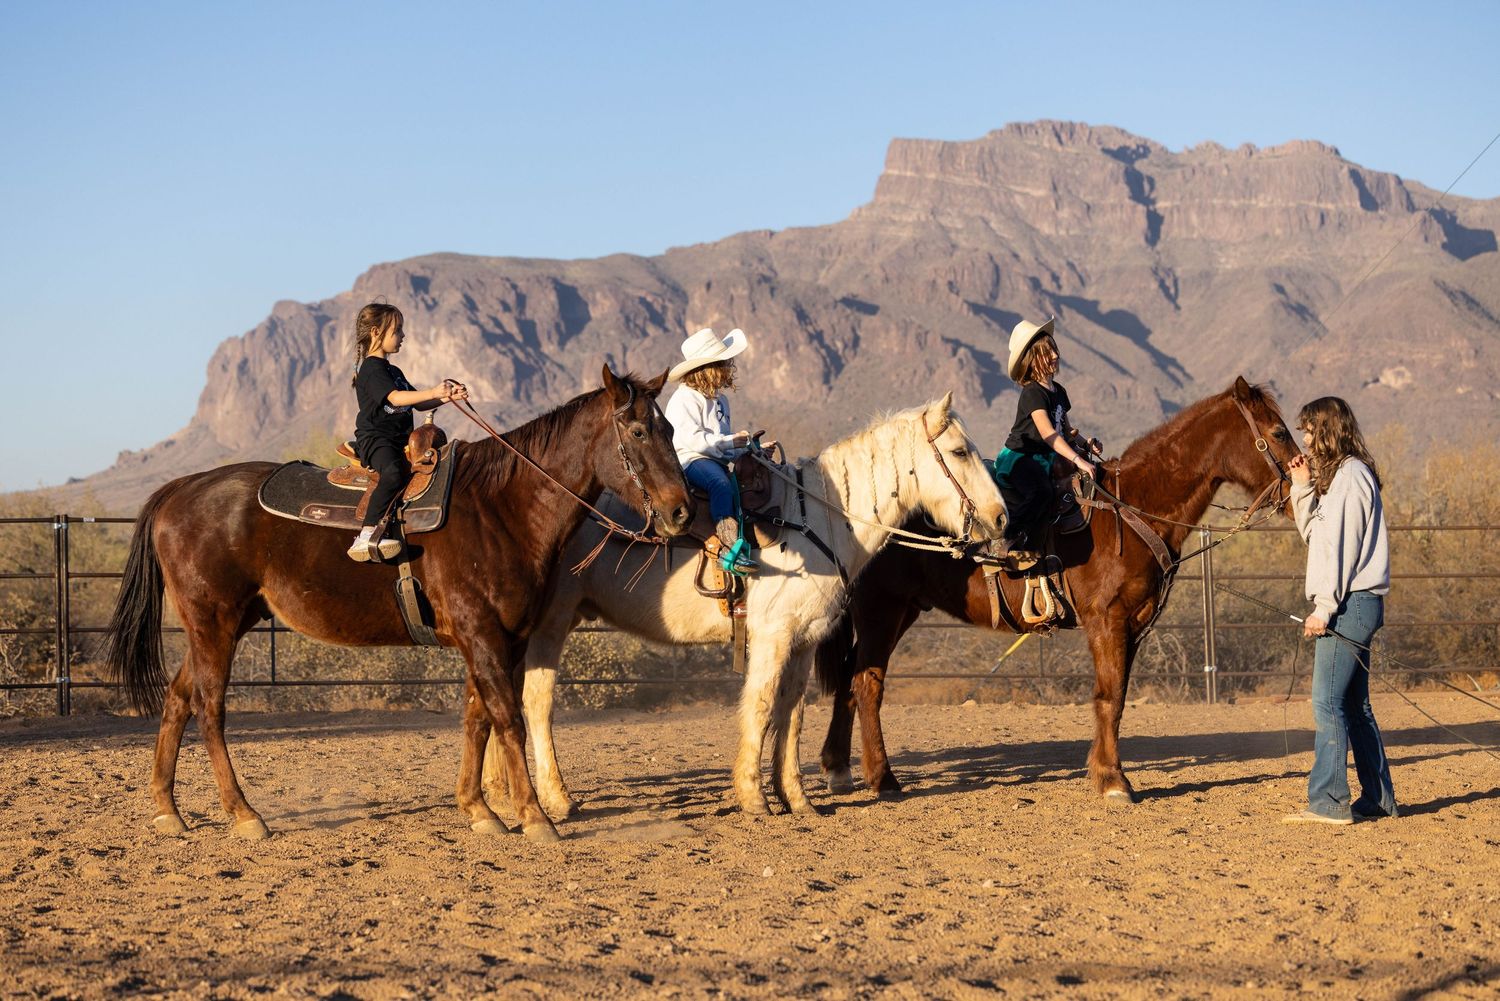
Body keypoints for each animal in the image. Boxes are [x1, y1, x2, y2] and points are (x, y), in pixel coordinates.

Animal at [105, 366, 692, 843]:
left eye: (668, 429)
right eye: (639, 431)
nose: (681, 512)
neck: (501, 508)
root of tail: (181, 488)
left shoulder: (503, 638)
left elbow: (477, 717)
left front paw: (479, 810)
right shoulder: (482, 633)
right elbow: (507, 719)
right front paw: (533, 816)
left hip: (221, 623)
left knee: (179, 698)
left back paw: (168, 810)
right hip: (216, 622)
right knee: (210, 707)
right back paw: (244, 814)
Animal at [478, 393, 1006, 819]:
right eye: (959, 451)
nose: (1001, 517)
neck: (818, 519)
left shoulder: (803, 641)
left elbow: (791, 713)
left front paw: (797, 798)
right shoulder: (773, 637)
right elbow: (761, 705)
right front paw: (754, 797)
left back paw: (499, 791)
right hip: (550, 624)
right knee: (536, 701)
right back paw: (556, 798)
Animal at [814, 377, 1300, 802]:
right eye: (1278, 432)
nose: (1299, 496)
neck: (1130, 508)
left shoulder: (1134, 625)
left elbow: (1118, 697)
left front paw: (1102, 771)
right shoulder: (1107, 620)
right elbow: (1108, 697)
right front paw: (1113, 781)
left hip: (902, 611)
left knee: (849, 678)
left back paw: (838, 768)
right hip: (881, 609)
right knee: (867, 684)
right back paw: (882, 778)